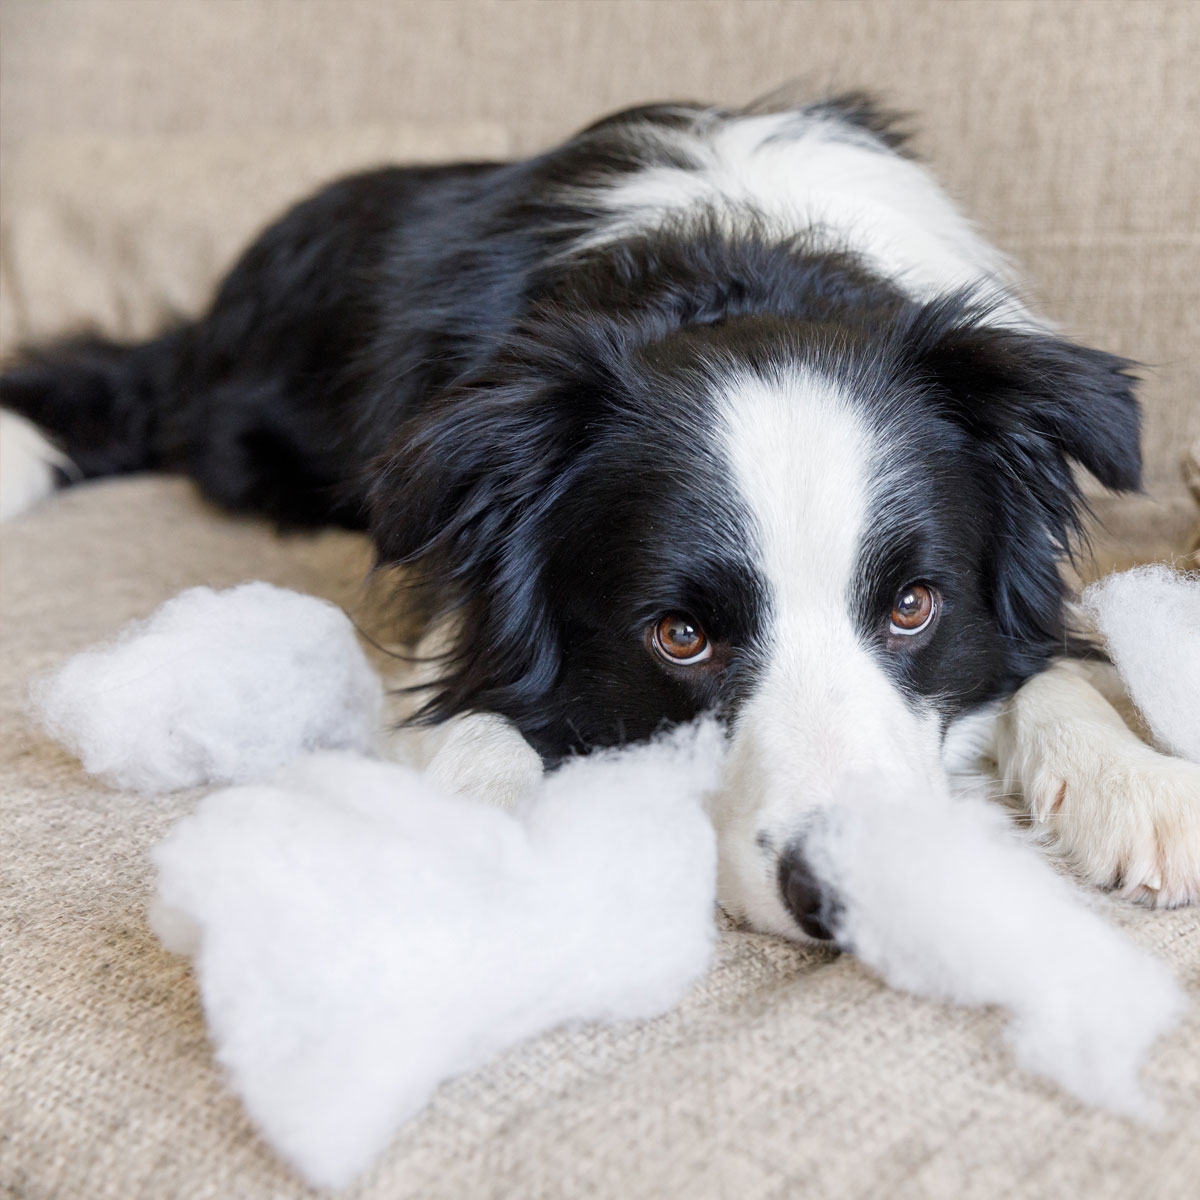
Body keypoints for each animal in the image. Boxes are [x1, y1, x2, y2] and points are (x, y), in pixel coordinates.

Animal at [4, 93, 1195, 936]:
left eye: (912, 607)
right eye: (679, 636)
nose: (851, 900)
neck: (743, 265)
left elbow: (1046, 665)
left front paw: (1131, 780)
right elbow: (474, 717)